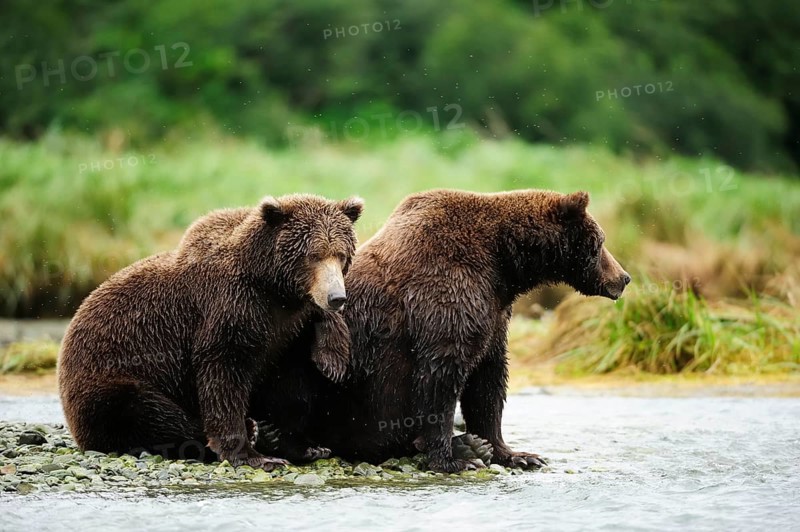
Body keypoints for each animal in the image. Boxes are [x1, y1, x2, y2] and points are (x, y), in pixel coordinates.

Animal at [58, 194, 363, 470]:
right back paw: (250, 429)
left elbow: (292, 376)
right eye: (313, 255)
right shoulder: (230, 308)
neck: (272, 288)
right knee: (145, 413)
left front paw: (332, 362)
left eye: (341, 254)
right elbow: (223, 373)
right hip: (111, 376)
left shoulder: (286, 328)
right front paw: (251, 454)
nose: (336, 297)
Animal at [276, 189, 630, 473]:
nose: (623, 277)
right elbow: (441, 374)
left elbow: (489, 381)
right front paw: (450, 459)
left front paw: (516, 453)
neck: (502, 265)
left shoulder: (494, 313)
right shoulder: (446, 295)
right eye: (601, 242)